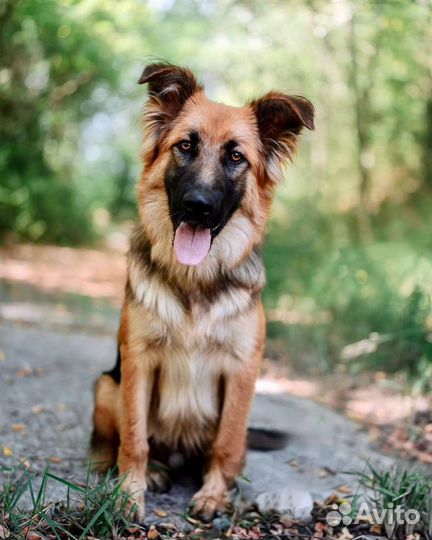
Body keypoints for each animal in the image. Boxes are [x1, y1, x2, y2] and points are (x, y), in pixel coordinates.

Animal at [91, 61, 314, 520]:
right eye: (186, 146)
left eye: (236, 157)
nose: (198, 205)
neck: (196, 279)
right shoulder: (138, 360)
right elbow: (134, 438)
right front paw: (128, 494)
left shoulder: (242, 369)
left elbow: (226, 444)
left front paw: (214, 494)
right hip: (106, 384)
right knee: (114, 439)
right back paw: (128, 468)